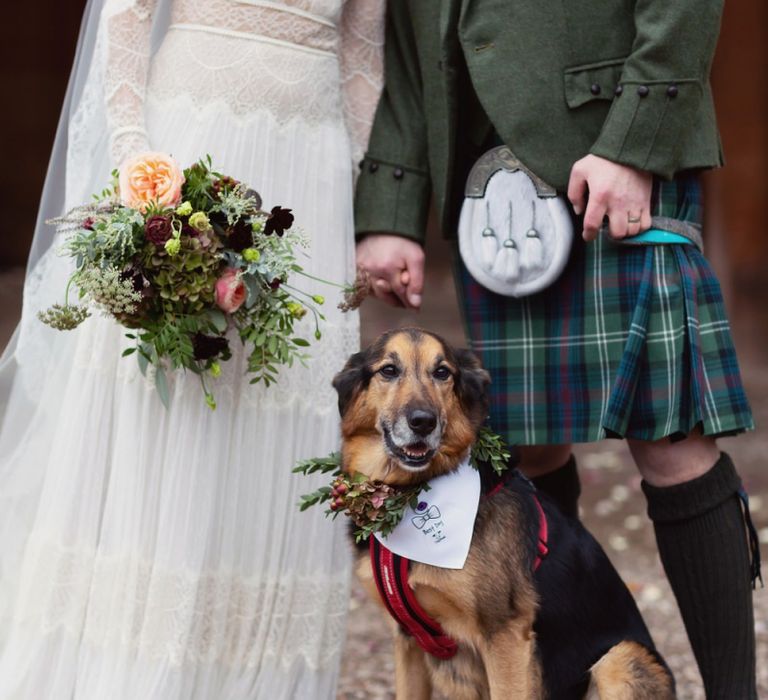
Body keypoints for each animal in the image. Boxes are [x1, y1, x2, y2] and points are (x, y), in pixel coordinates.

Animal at [332, 328, 676, 700]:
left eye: (442, 372)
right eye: (389, 370)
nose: (423, 422)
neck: (412, 492)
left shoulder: (504, 634)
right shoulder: (407, 641)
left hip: (620, 658)